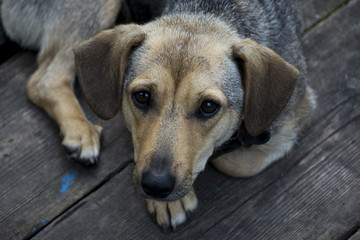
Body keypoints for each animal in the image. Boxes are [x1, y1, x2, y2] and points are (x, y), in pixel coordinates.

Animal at [1, 0, 316, 231]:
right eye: (142, 96)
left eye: (209, 106)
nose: (156, 186)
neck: (209, 11)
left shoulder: (296, 114)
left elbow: (236, 161)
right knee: (43, 80)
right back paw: (79, 130)